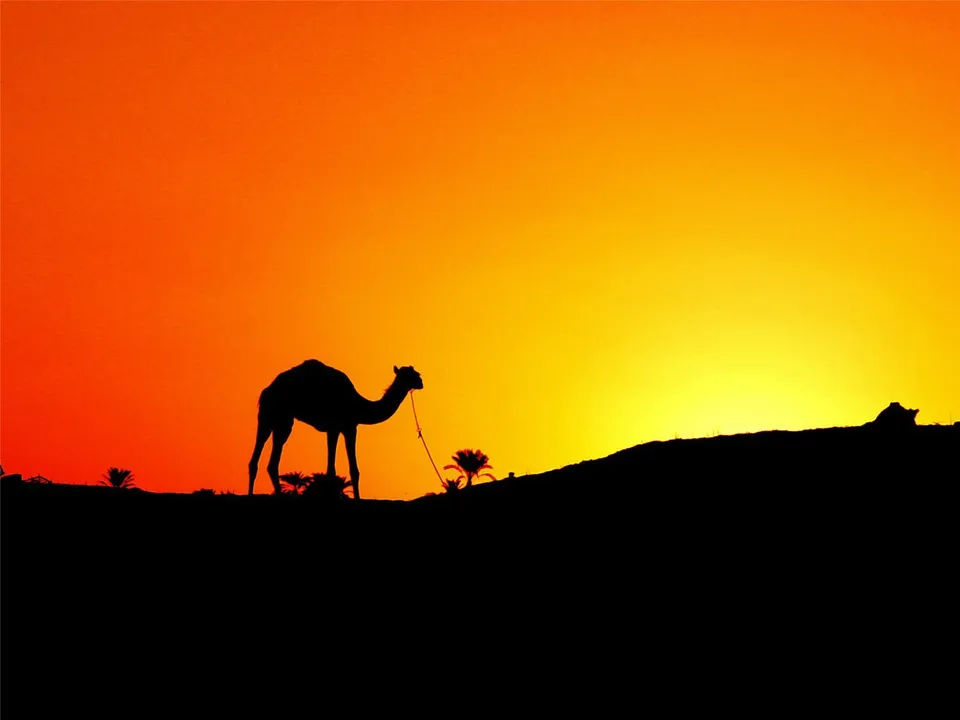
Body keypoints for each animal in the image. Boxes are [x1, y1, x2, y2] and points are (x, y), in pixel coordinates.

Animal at [248, 360, 423, 498]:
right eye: (410, 375)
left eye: (416, 373)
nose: (421, 382)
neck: (358, 405)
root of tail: (267, 390)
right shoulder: (344, 427)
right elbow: (344, 470)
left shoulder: (341, 428)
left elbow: (341, 470)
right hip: (273, 414)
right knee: (265, 454)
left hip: (280, 419)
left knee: (267, 459)